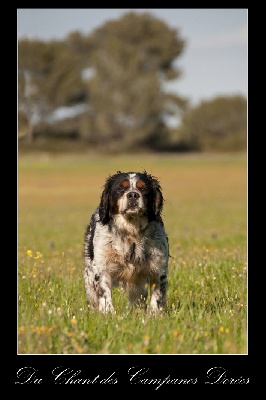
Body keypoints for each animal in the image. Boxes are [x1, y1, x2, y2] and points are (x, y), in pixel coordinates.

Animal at [83, 170, 168, 314]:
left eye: (143, 188)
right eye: (120, 188)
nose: (133, 194)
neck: (131, 232)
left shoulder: (158, 267)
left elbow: (157, 296)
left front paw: (154, 314)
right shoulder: (102, 267)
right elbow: (104, 293)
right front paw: (108, 312)